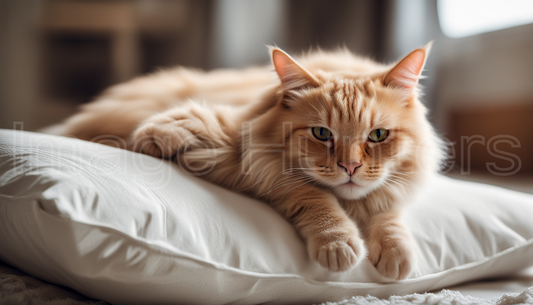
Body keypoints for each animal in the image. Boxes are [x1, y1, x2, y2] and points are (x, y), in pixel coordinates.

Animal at [50, 44, 442, 280]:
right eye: (321, 133)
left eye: (378, 135)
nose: (350, 168)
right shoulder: (254, 163)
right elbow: (315, 196)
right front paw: (339, 243)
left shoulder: (393, 190)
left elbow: (387, 212)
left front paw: (396, 253)